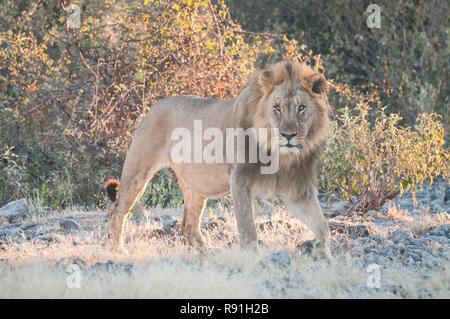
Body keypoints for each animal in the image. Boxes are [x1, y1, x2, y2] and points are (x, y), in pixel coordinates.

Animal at [104, 60, 330, 260]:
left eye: (301, 107)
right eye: (277, 108)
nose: (288, 135)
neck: (277, 151)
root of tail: (155, 105)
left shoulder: (298, 189)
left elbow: (322, 225)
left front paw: (322, 255)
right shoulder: (239, 180)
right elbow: (248, 228)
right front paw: (254, 259)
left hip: (197, 185)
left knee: (188, 225)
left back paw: (209, 253)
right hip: (138, 173)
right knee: (117, 212)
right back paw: (118, 251)